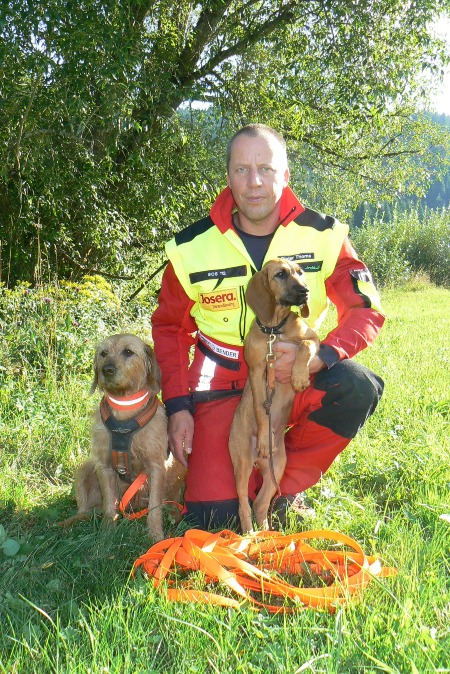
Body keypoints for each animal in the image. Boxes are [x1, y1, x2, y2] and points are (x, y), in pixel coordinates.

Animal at [61, 334, 185, 540]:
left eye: (128, 352)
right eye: (103, 353)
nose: (107, 370)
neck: (124, 409)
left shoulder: (156, 466)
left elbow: (155, 507)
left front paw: (156, 536)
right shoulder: (104, 466)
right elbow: (110, 506)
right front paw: (106, 534)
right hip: (85, 469)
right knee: (87, 509)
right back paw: (71, 521)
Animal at [229, 260, 320, 532]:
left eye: (301, 272)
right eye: (280, 274)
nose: (305, 291)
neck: (274, 330)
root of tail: (260, 463)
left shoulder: (313, 338)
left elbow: (304, 346)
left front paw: (299, 376)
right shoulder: (257, 370)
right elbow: (261, 410)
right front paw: (263, 436)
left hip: (276, 470)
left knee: (260, 504)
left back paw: (268, 536)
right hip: (242, 464)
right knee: (244, 505)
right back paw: (249, 534)